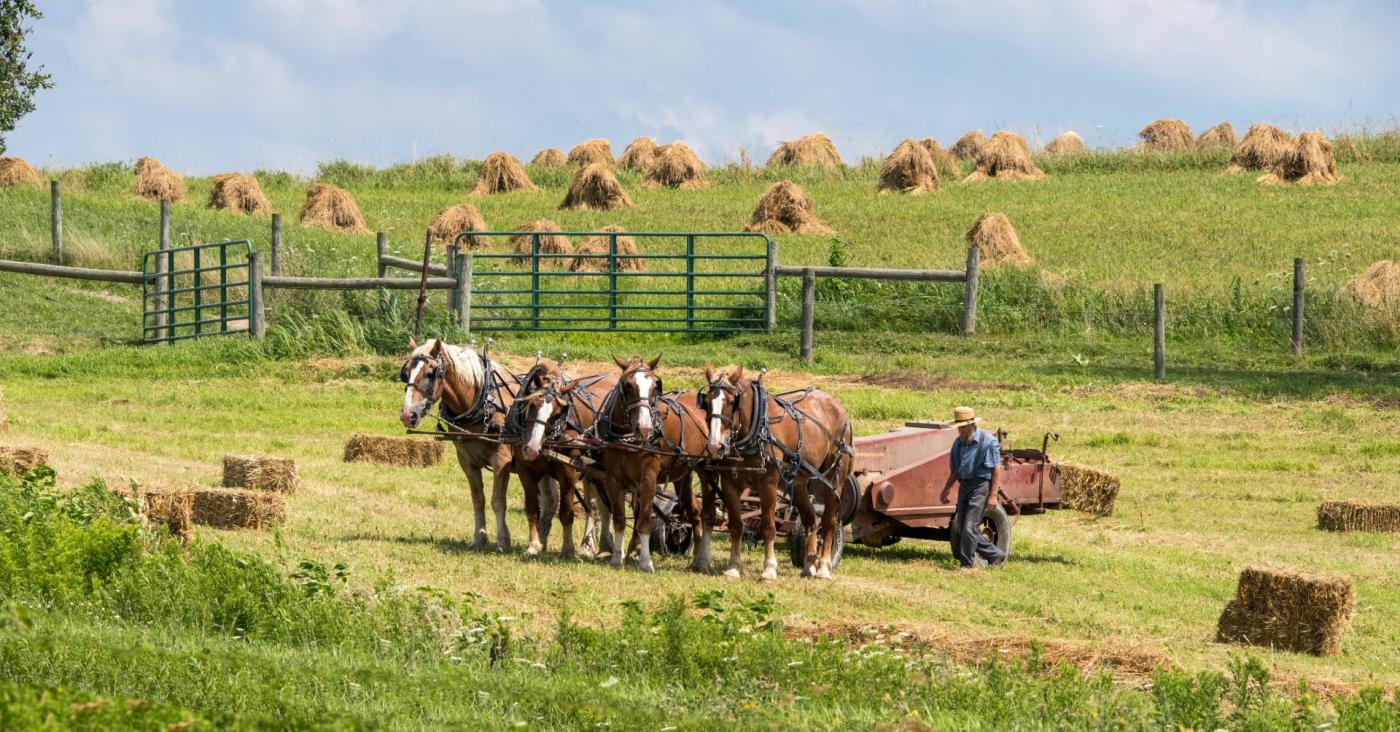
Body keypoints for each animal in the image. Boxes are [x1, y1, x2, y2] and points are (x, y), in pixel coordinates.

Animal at [398, 338, 557, 552]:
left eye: (430, 373)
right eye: (406, 373)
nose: (408, 415)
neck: (482, 401)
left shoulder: (502, 459)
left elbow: (498, 500)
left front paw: (502, 540)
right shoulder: (466, 460)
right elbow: (478, 499)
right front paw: (479, 538)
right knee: (550, 502)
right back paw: (541, 542)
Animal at [508, 358, 618, 558]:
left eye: (557, 413)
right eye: (532, 405)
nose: (531, 448)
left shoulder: (567, 471)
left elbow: (566, 513)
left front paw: (567, 549)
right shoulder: (526, 470)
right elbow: (533, 510)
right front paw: (534, 545)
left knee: (603, 506)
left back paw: (599, 547)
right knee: (597, 505)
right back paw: (600, 546)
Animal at [596, 355, 717, 573]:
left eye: (655, 386)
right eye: (628, 385)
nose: (644, 428)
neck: (628, 439)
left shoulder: (649, 479)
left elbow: (644, 521)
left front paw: (645, 562)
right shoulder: (612, 479)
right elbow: (619, 520)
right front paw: (617, 558)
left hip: (707, 471)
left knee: (707, 513)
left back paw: (703, 560)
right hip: (683, 476)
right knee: (694, 512)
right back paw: (696, 559)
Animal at [700, 365, 854, 580]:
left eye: (731, 402)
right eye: (705, 402)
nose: (715, 446)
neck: (756, 428)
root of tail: (838, 405)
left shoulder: (768, 484)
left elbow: (768, 527)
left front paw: (769, 569)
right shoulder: (730, 483)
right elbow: (736, 525)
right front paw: (733, 567)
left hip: (834, 478)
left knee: (830, 521)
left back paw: (823, 567)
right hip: (799, 482)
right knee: (810, 519)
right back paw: (809, 565)